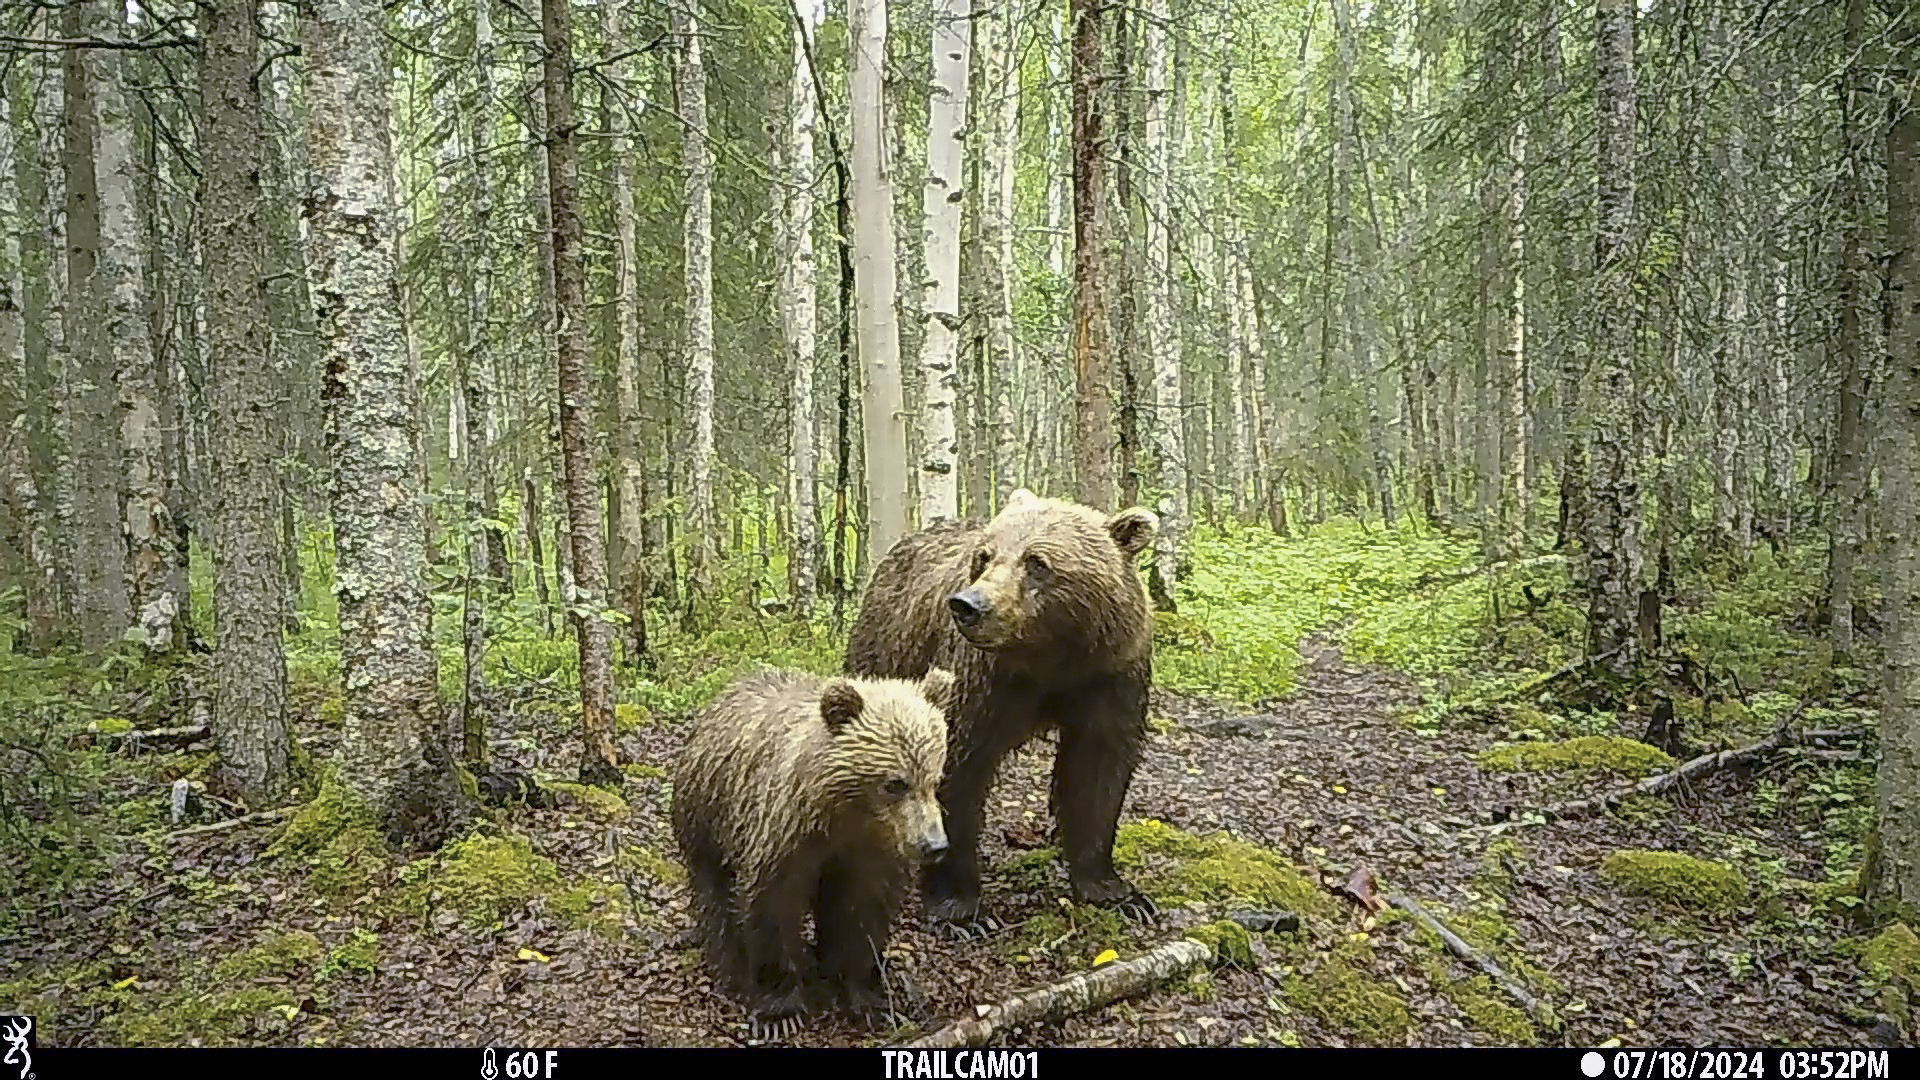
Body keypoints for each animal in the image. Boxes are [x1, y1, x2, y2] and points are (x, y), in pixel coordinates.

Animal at [848, 484, 1159, 930]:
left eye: (1037, 562)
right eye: (984, 556)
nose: (968, 605)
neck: (1051, 659)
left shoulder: (1110, 674)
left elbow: (1097, 772)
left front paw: (1117, 893)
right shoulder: (982, 680)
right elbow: (957, 768)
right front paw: (959, 909)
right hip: (886, 647)